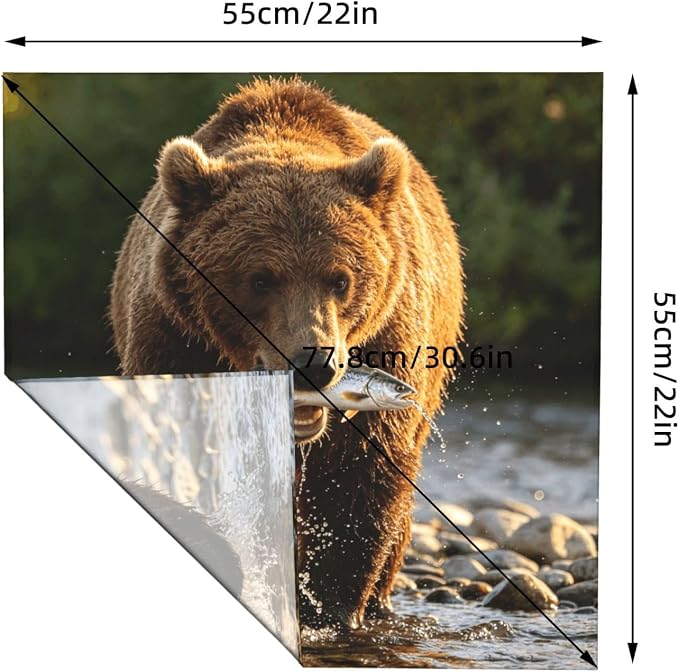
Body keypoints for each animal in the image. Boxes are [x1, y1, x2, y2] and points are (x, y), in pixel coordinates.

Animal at [110, 77, 464, 630]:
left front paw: (326, 607)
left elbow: (356, 483)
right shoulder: (174, 338)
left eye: (340, 278)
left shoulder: (391, 341)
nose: (312, 363)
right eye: (260, 279)